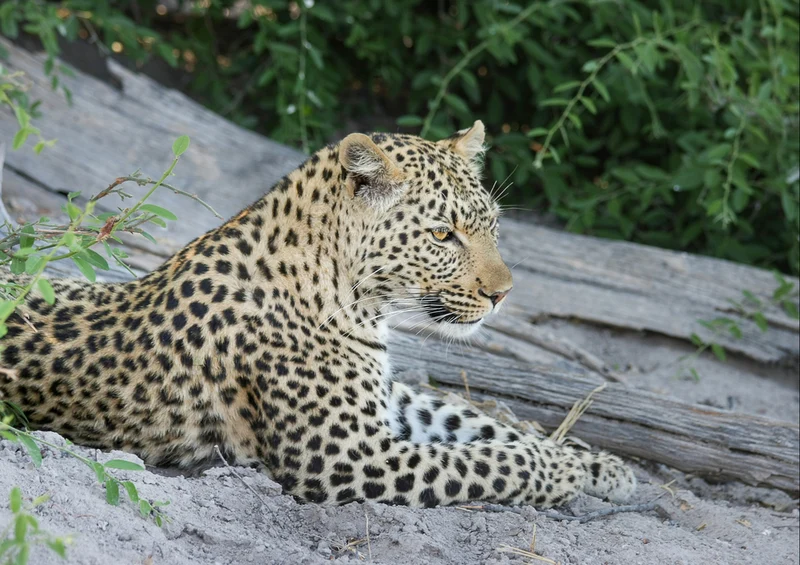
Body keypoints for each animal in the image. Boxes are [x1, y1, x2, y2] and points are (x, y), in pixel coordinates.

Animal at [0, 121, 636, 509]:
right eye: (442, 235)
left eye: (492, 227)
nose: (504, 294)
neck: (356, 298)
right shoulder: (349, 457)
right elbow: (494, 462)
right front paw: (565, 474)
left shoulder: (388, 398)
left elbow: (484, 426)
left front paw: (603, 466)